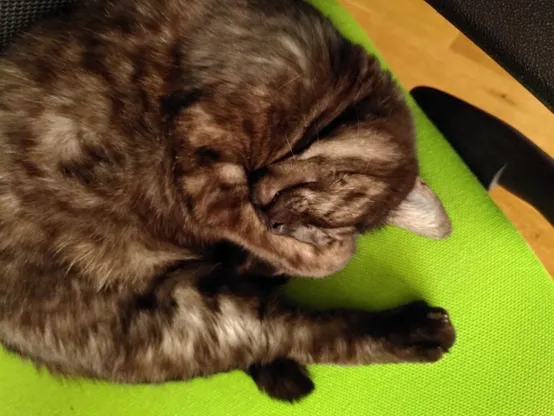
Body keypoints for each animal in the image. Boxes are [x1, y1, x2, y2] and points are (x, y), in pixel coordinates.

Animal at [0, 0, 452, 404]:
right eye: (318, 215)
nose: (276, 220)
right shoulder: (206, 147)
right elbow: (308, 255)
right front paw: (329, 252)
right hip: (179, 323)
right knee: (292, 334)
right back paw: (422, 330)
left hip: (184, 320)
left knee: (292, 334)